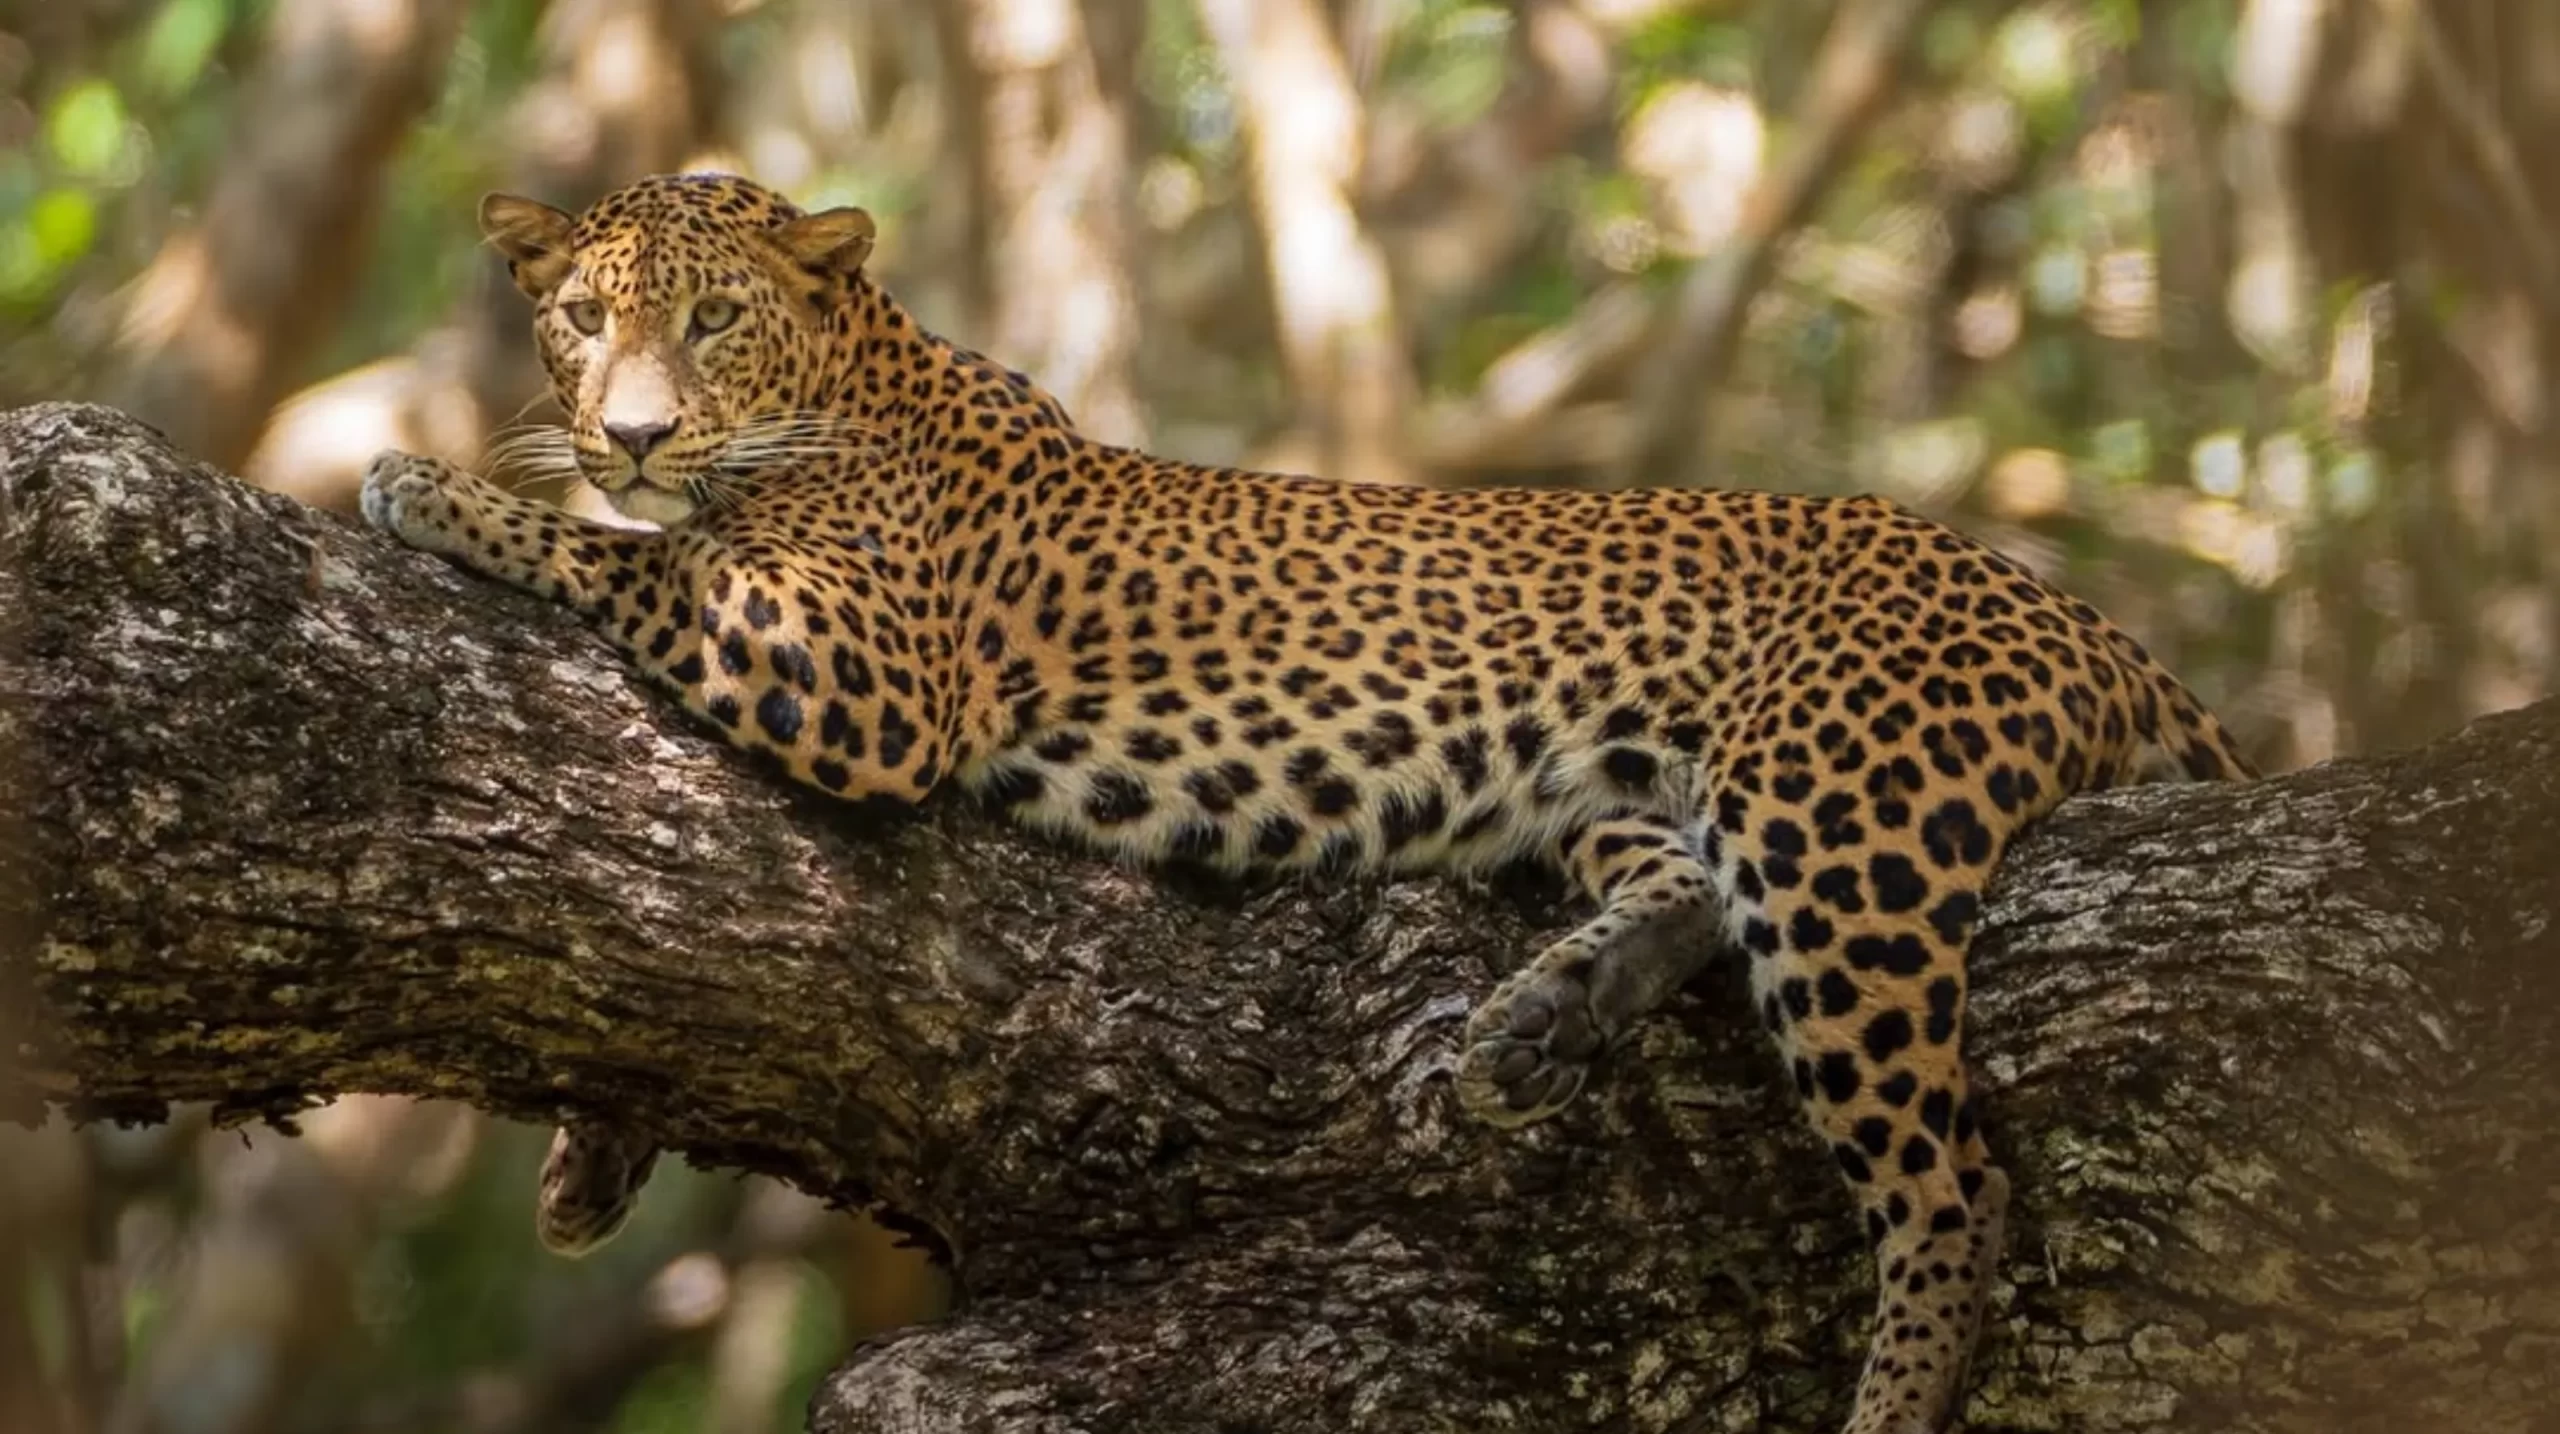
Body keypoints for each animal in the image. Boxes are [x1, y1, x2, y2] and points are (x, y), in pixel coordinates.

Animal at [358, 171, 2258, 1434]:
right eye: (583, 319)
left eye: (715, 321)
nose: (630, 430)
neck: (859, 371)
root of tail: (2079, 614)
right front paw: (589, 1157)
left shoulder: (856, 663)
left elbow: (633, 557)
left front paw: (429, 482)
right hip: (1627, 779)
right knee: (1680, 891)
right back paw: (1545, 1017)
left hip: (1841, 818)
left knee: (1952, 1181)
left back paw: (1888, 1379)